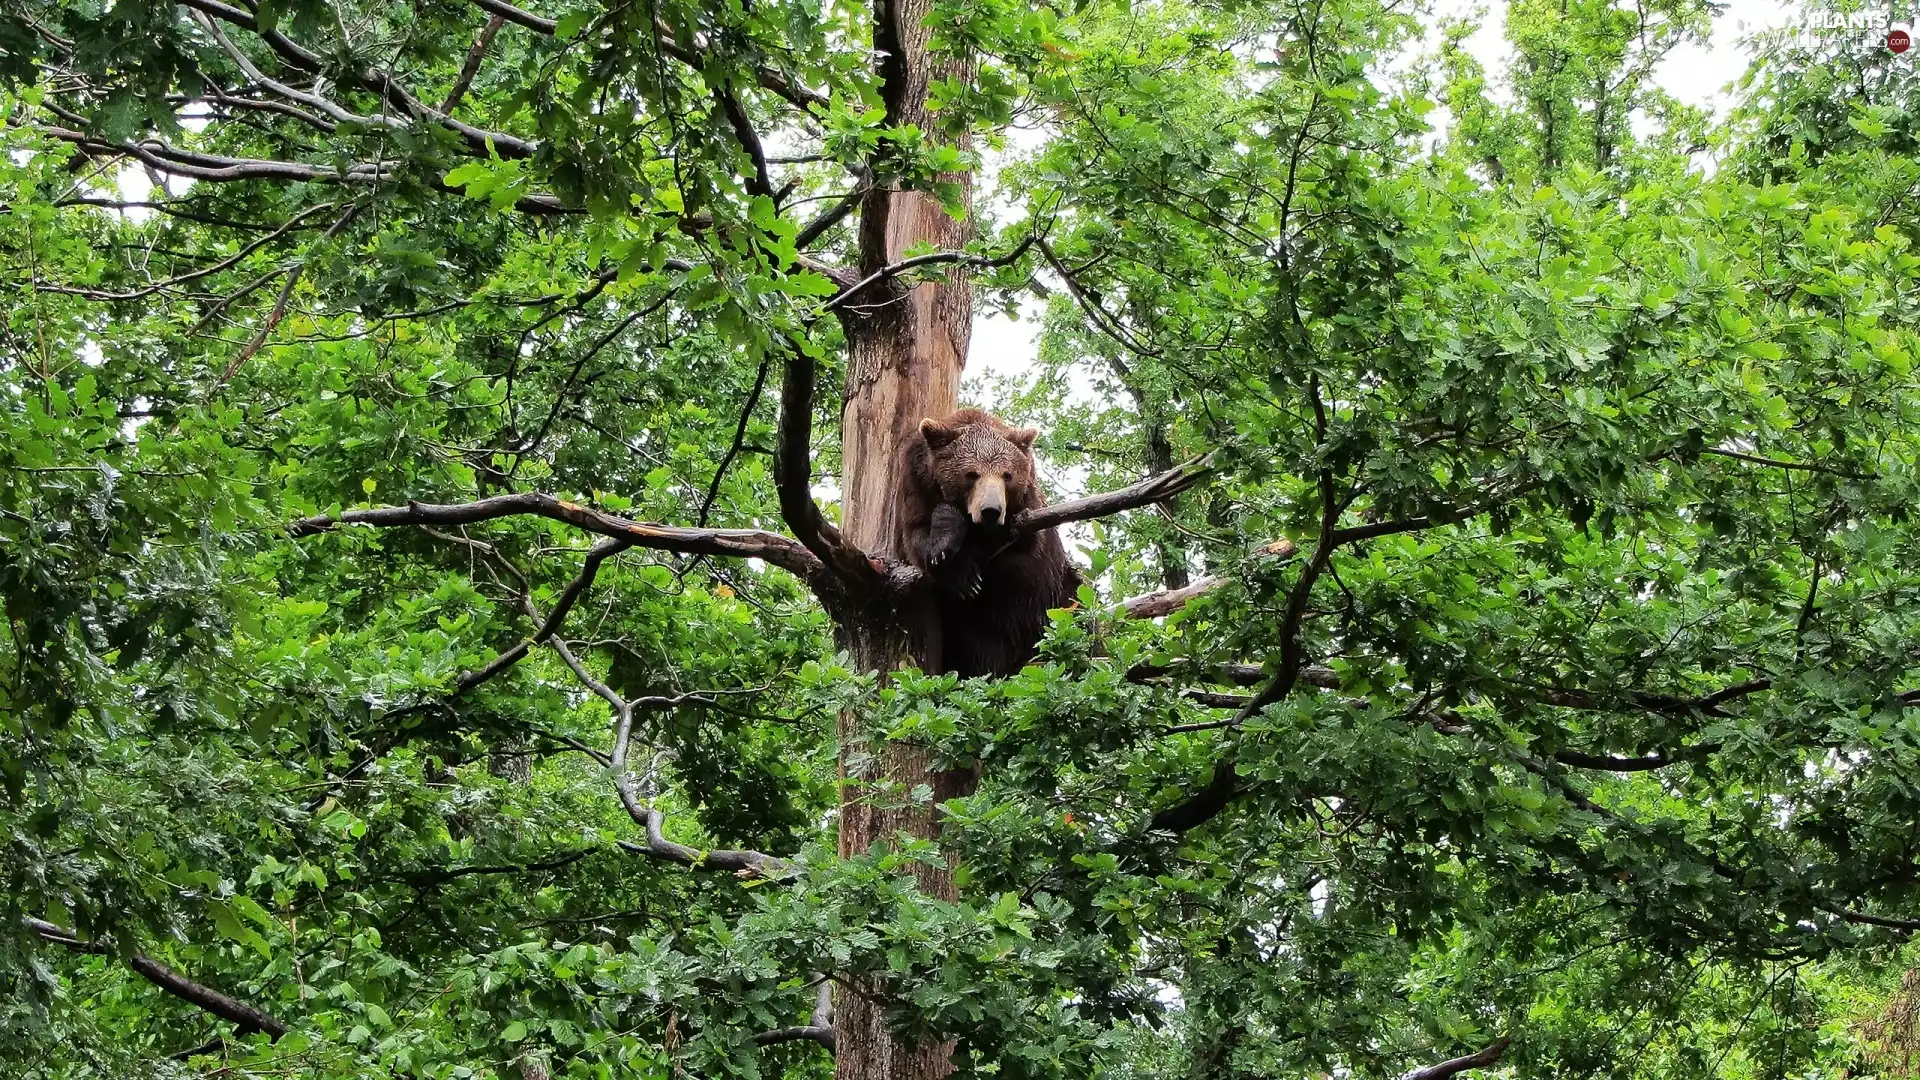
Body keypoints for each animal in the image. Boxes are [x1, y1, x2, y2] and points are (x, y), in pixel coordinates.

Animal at [896, 408, 1081, 678]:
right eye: (971, 474)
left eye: (1008, 475)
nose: (991, 511)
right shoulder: (916, 488)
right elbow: (918, 539)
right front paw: (960, 570)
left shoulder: (1028, 518)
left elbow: (1021, 546)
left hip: (1057, 600)